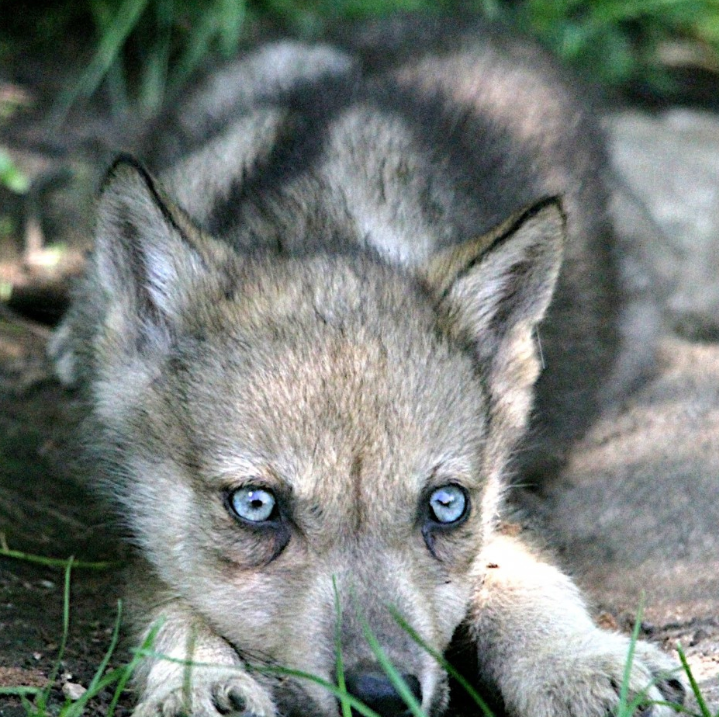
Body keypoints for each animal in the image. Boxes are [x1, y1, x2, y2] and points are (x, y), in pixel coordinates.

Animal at [51, 16, 684, 717]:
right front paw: (194, 678)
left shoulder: (504, 495)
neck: (315, 224)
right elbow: (165, 593)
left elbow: (521, 564)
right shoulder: (130, 515)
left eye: (446, 504)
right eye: (255, 505)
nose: (384, 695)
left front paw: (577, 662)